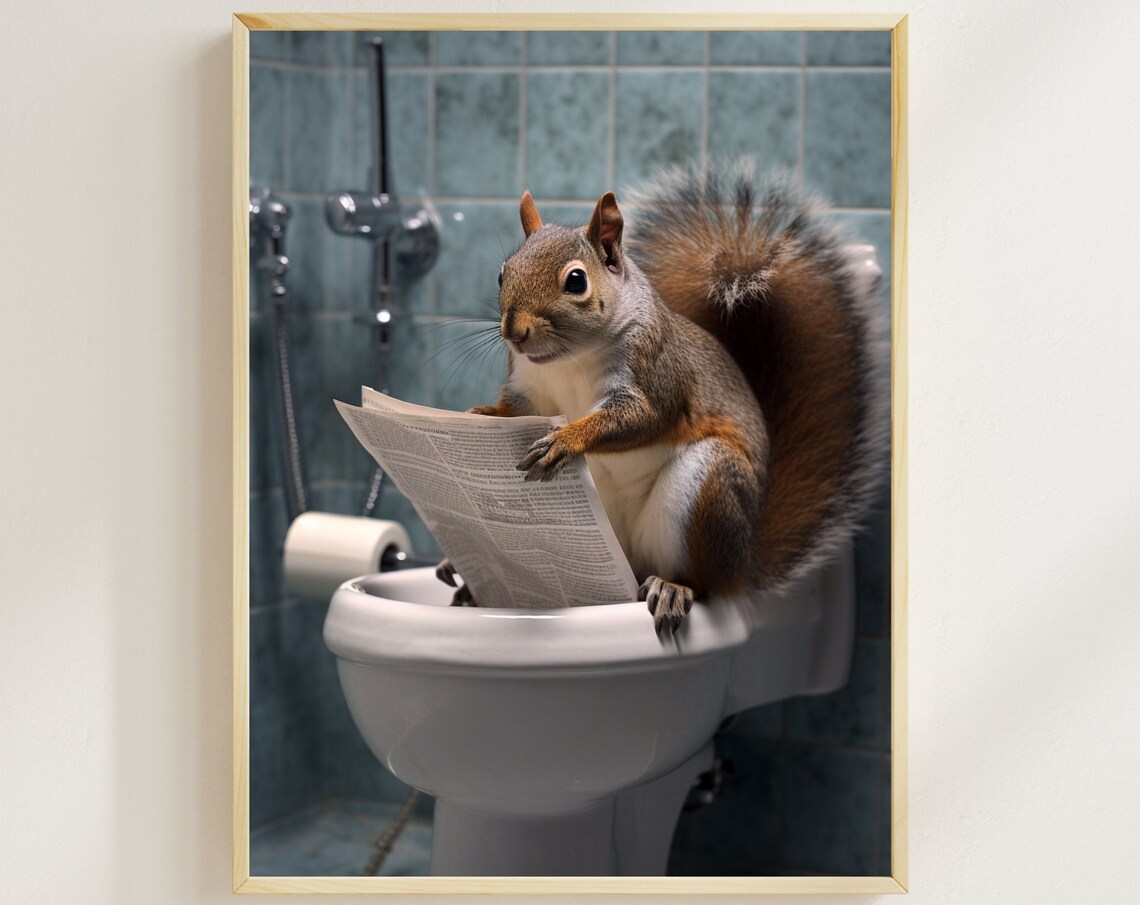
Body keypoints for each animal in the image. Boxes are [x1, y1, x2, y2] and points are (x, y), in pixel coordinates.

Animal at [436, 165, 888, 633]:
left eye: (576, 281)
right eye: (502, 273)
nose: (515, 333)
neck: (568, 360)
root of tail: (748, 565)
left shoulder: (655, 374)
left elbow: (642, 419)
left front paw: (566, 440)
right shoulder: (530, 387)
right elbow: (518, 411)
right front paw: (483, 413)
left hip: (710, 487)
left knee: (707, 584)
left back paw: (674, 587)